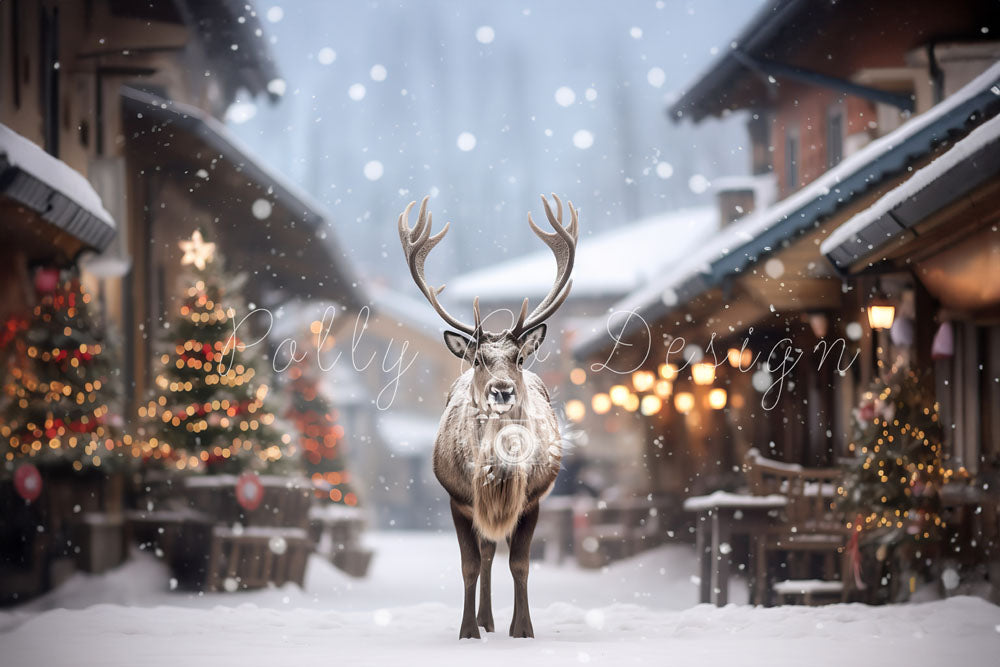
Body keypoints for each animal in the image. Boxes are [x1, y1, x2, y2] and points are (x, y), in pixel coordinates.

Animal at [397, 194, 578, 640]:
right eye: (478, 358)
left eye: (517, 358)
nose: (502, 389)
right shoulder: (458, 499)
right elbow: (469, 565)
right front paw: (467, 631)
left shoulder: (533, 499)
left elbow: (521, 564)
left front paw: (523, 630)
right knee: (485, 553)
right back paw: (485, 619)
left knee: (497, 553)